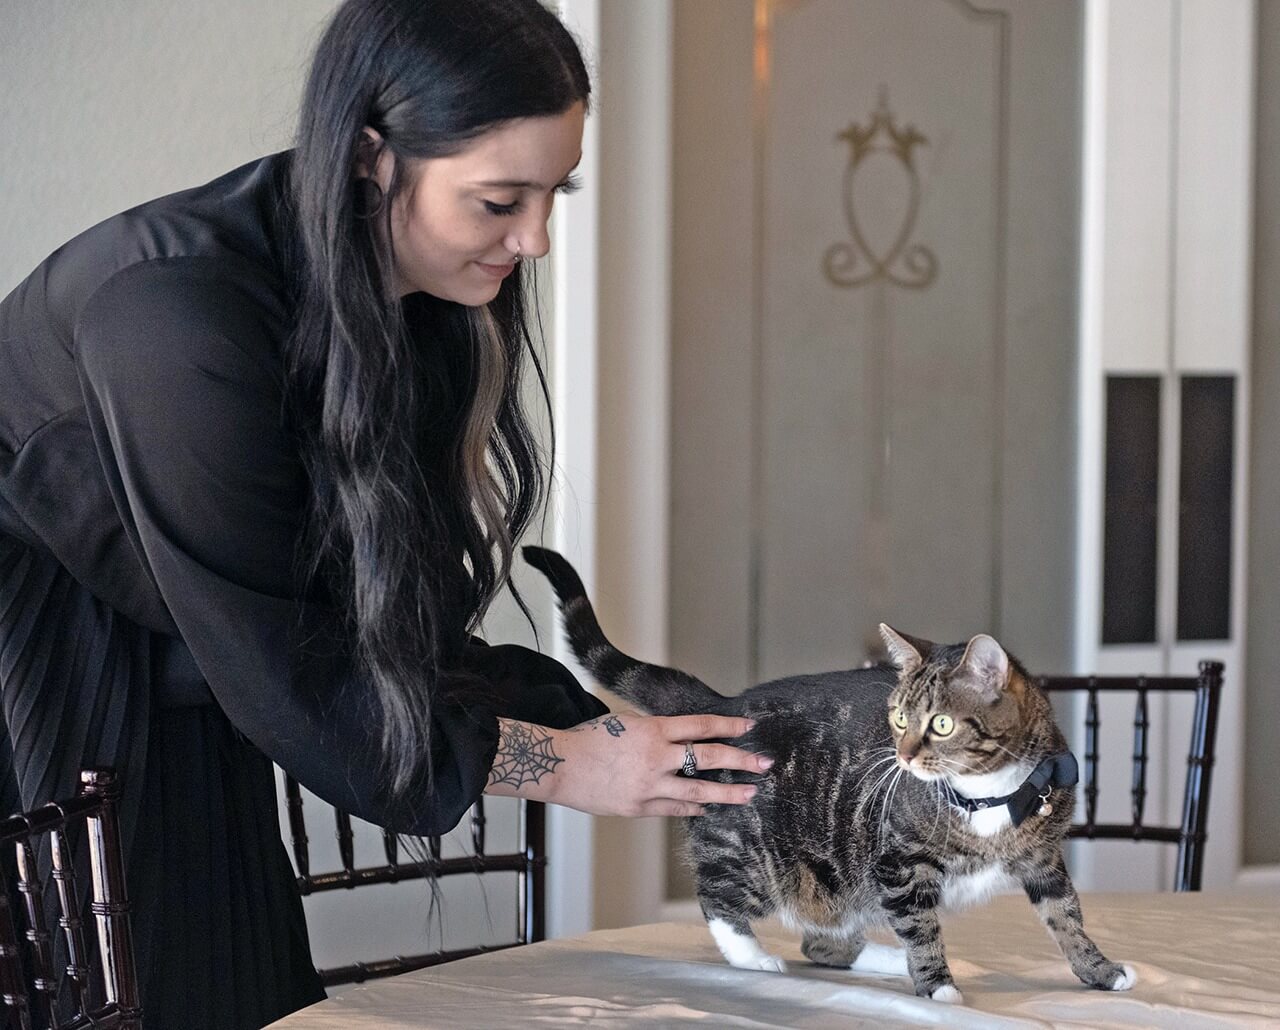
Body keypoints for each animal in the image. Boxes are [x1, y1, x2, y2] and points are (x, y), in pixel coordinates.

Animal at [519, 547, 1131, 1003]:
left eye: (940, 723)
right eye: (899, 717)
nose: (903, 755)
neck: (988, 798)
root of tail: (728, 703)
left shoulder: (1043, 858)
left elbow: (1067, 917)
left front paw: (1100, 971)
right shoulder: (897, 863)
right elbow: (921, 927)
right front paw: (938, 987)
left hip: (830, 877)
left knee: (823, 942)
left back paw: (884, 960)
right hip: (756, 850)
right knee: (720, 898)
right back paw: (756, 957)